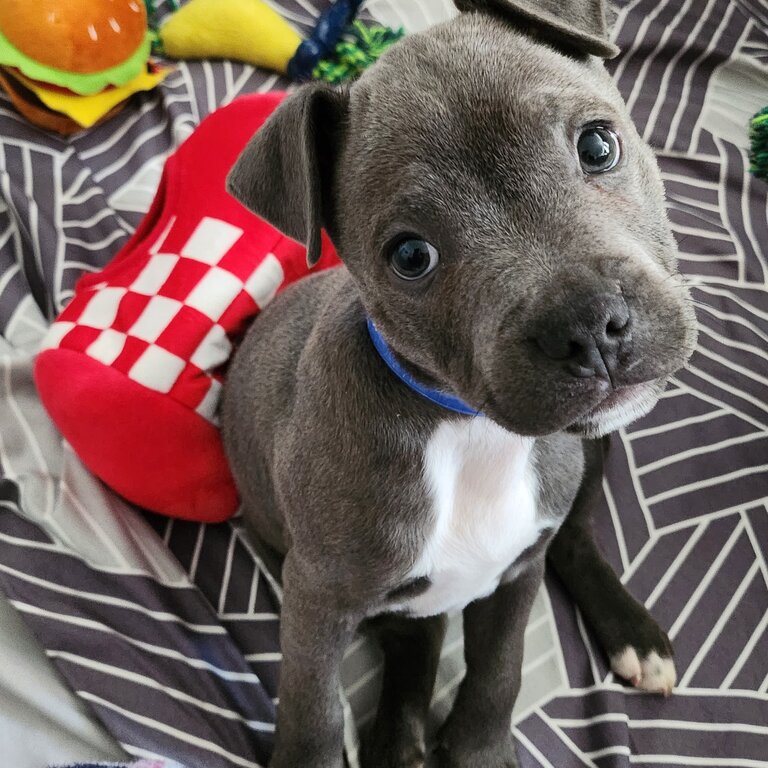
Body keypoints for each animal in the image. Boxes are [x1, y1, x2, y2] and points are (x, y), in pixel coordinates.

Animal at [220, 3, 696, 764]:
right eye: (411, 256)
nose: (589, 325)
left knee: (571, 537)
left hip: (590, 453)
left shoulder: (518, 572)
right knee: (416, 637)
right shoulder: (316, 600)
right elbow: (312, 713)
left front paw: (477, 748)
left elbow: (500, 670)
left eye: (597, 145)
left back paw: (633, 635)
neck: (467, 429)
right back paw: (398, 738)